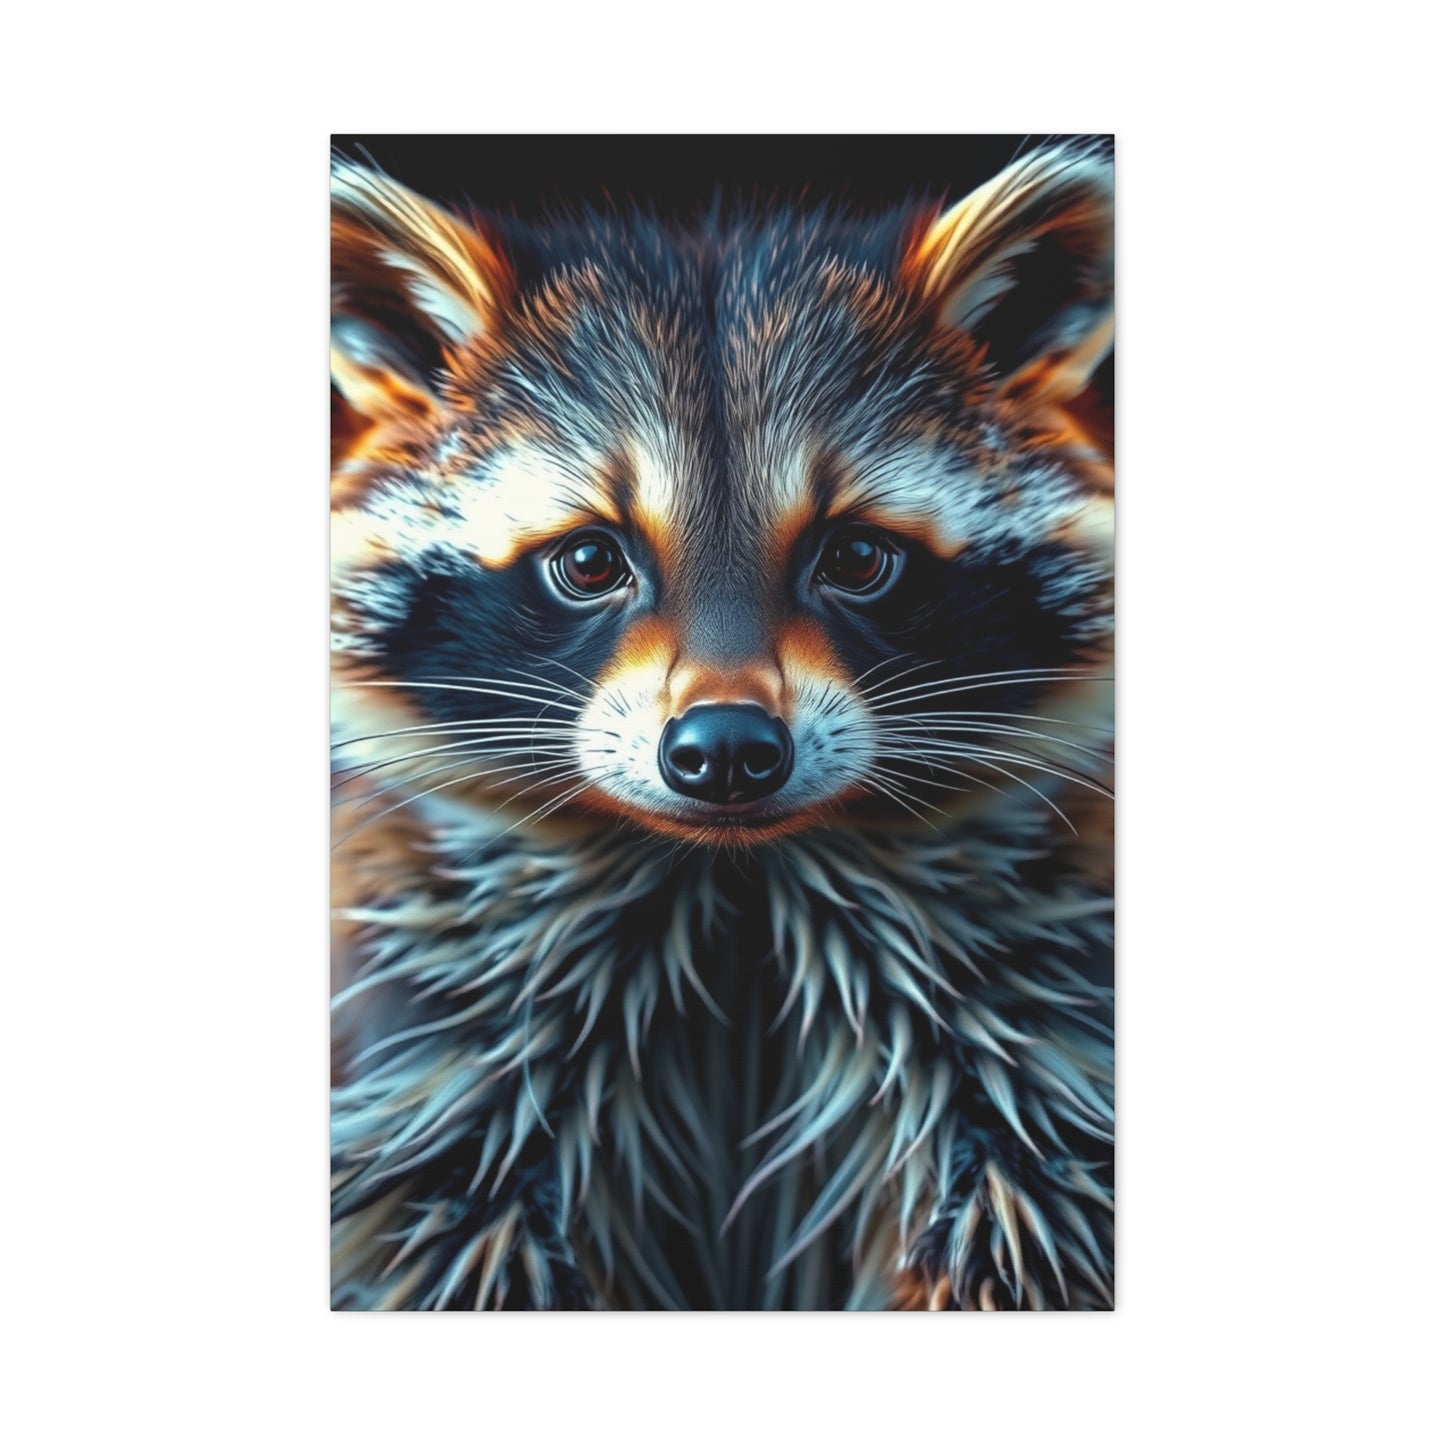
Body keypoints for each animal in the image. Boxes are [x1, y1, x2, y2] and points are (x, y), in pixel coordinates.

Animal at [330, 140, 1114, 1310]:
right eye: (590, 559)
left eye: (856, 556)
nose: (727, 753)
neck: (734, 892)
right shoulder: (445, 1056)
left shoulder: (1024, 1040)